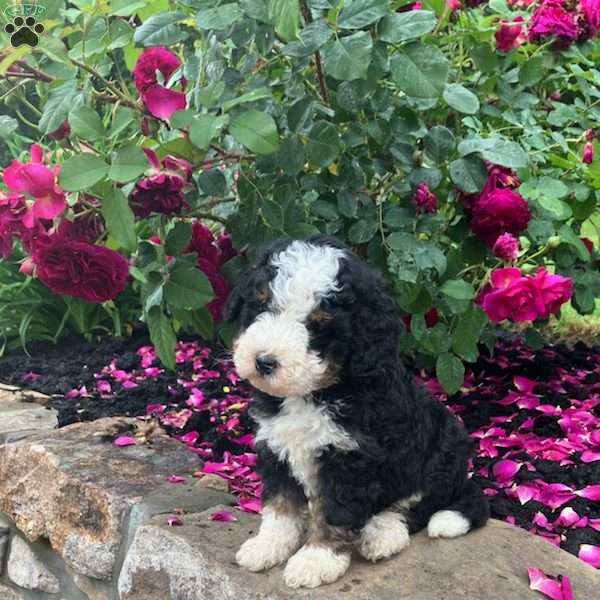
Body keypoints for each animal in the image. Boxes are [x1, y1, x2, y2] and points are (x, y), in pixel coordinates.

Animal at [224, 237, 488, 588]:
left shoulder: (351, 458)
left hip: (442, 450)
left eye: (318, 325)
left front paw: (316, 560)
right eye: (262, 304)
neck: (314, 394)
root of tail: (463, 477)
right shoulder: (275, 446)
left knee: (416, 504)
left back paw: (382, 533)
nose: (264, 361)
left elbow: (334, 511)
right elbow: (280, 506)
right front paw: (268, 545)